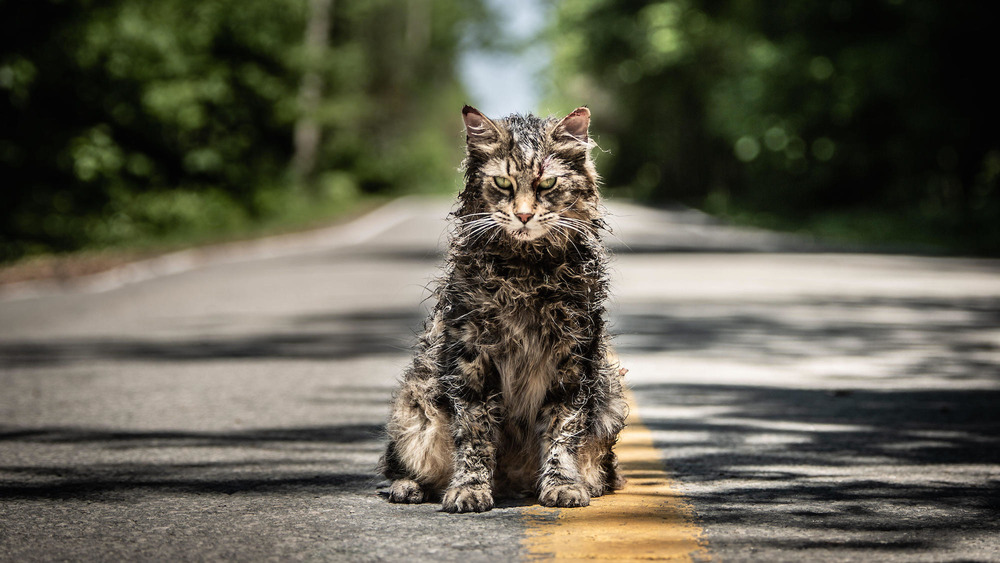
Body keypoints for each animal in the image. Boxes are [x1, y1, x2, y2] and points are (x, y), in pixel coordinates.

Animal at [378, 103, 628, 512]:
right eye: (503, 184)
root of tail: (512, 484)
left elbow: (562, 431)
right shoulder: (471, 357)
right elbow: (475, 434)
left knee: (602, 470)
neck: (526, 271)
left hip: (611, 397)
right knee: (402, 465)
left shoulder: (573, 358)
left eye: (547, 185)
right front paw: (470, 489)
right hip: (414, 404)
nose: (524, 216)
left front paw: (562, 485)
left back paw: (584, 484)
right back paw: (410, 487)